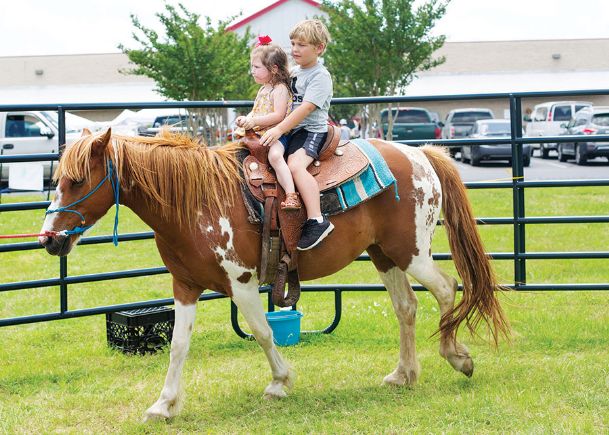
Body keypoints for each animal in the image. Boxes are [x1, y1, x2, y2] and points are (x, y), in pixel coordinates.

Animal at [39, 129, 508, 422]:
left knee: (447, 288)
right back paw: (404, 374)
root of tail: (420, 154)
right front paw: (164, 404)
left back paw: (457, 356)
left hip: (411, 252)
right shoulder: (185, 286)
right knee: (406, 307)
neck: (194, 200)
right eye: (57, 179)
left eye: (77, 180)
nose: (49, 239)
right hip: (383, 255)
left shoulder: (241, 283)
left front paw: (280, 382)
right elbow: (178, 346)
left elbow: (263, 332)